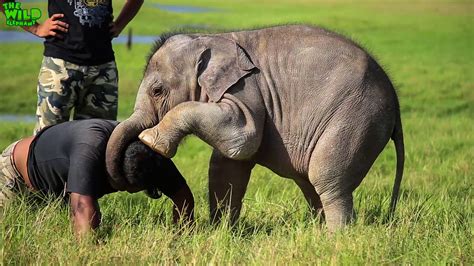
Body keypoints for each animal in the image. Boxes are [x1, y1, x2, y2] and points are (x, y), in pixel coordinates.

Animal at [104, 25, 404, 233]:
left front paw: (151, 140)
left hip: (356, 117)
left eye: (157, 91)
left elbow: (243, 136)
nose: (149, 189)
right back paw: (318, 232)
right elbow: (225, 166)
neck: (209, 37)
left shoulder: (246, 89)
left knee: (327, 177)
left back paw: (335, 239)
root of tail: (394, 97)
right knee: (309, 182)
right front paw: (221, 234)